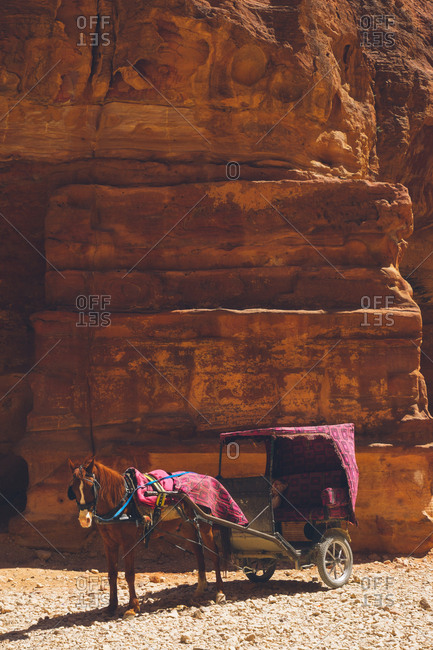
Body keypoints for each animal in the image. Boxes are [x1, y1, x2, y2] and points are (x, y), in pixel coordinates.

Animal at [67, 457, 226, 616]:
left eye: (90, 487)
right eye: (73, 489)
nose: (84, 519)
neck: (121, 504)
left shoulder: (128, 542)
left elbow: (129, 574)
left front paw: (133, 607)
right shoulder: (109, 543)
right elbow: (112, 574)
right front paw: (111, 606)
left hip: (205, 525)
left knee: (215, 554)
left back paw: (220, 591)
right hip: (188, 527)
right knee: (199, 553)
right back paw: (199, 590)